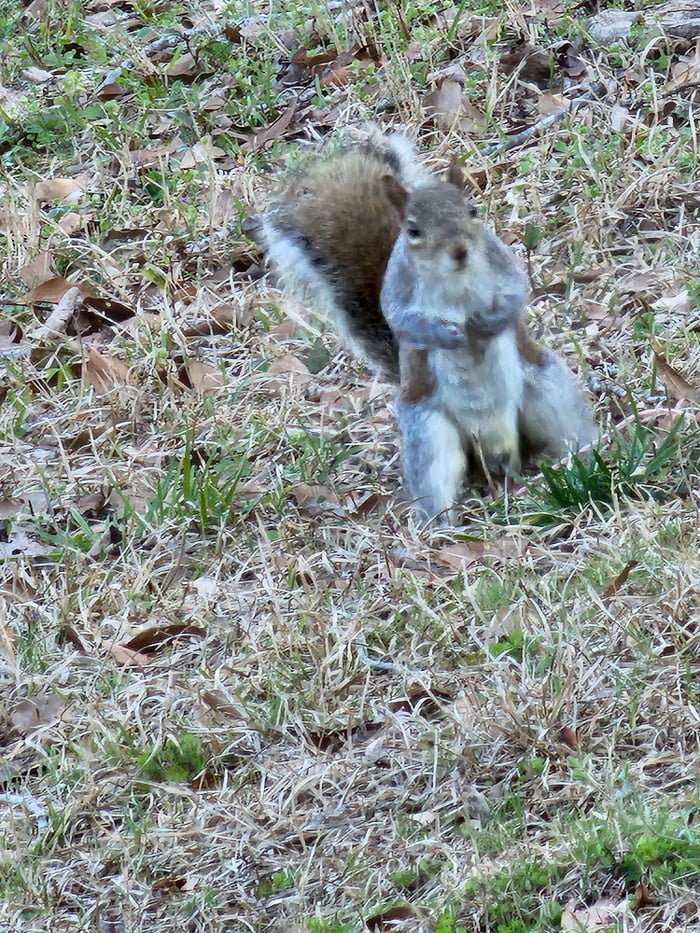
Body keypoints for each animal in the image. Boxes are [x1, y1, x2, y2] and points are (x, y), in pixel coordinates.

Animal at [262, 133, 595, 523]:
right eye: (413, 230)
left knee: (566, 425)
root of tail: (498, 452)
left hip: (546, 386)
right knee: (435, 480)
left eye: (472, 211)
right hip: (428, 432)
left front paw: (488, 322)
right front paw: (448, 335)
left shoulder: (501, 264)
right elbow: (403, 320)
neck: (455, 278)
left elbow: (516, 293)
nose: (459, 250)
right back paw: (438, 525)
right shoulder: (399, 291)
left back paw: (586, 451)